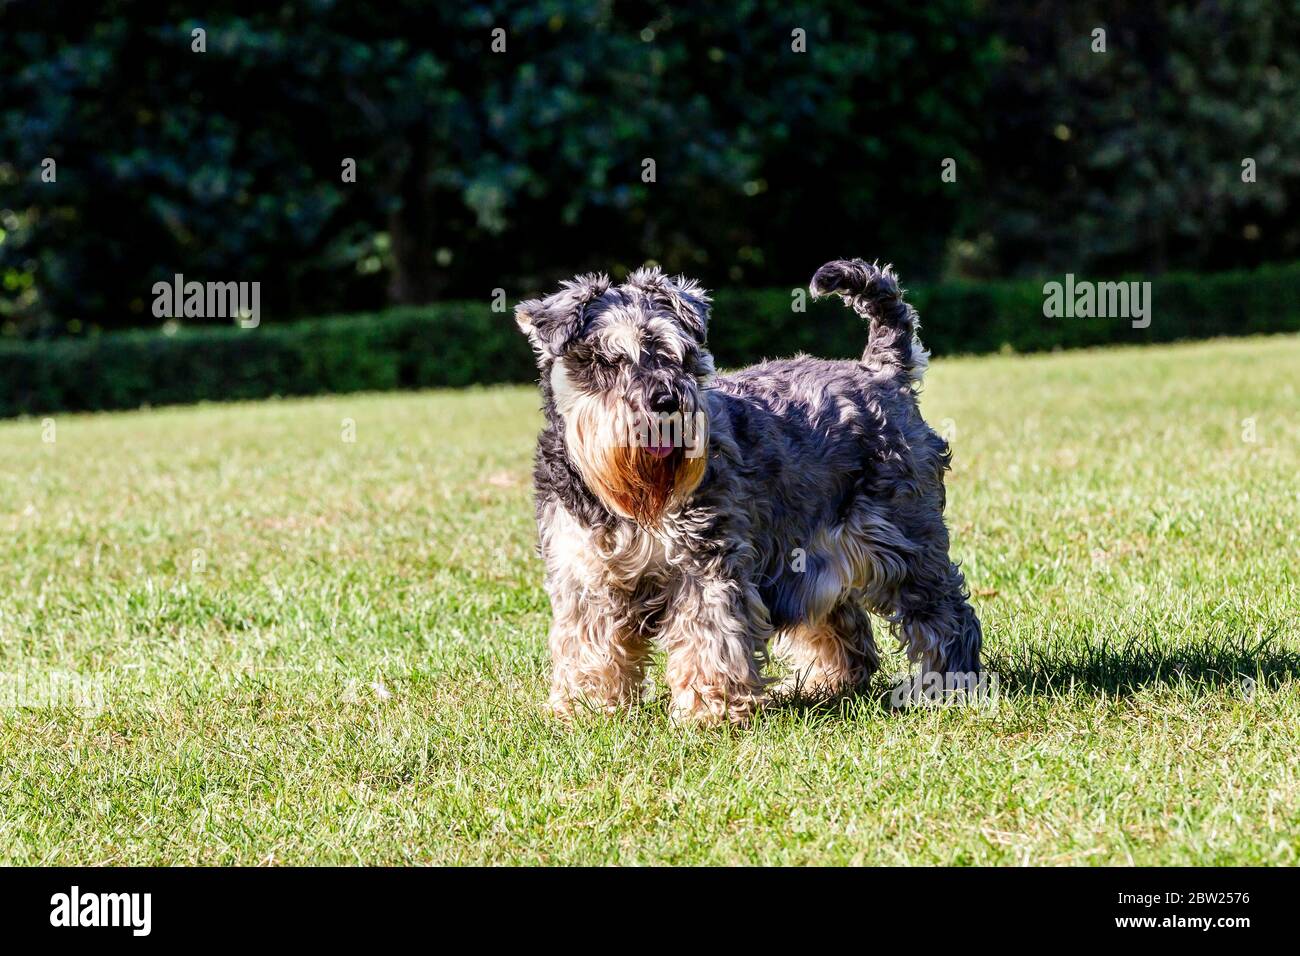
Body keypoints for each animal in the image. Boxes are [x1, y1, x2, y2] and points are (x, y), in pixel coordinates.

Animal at [512, 257, 977, 723]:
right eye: (605, 360)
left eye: (680, 356)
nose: (665, 400)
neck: (629, 500)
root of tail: (882, 372)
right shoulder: (585, 576)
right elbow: (588, 645)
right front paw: (586, 706)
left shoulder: (705, 567)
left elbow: (708, 639)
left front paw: (708, 710)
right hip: (810, 555)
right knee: (843, 623)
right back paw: (827, 683)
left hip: (904, 545)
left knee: (949, 615)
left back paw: (949, 685)